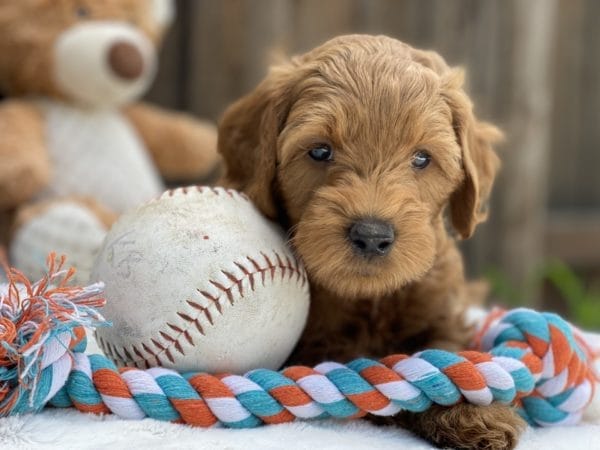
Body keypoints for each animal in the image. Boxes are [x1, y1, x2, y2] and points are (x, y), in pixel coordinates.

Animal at [217, 33, 524, 448]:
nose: (372, 235)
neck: (370, 298)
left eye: (422, 158)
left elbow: (444, 352)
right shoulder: (316, 345)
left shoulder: (442, 310)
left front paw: (473, 412)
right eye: (320, 151)